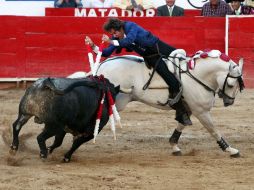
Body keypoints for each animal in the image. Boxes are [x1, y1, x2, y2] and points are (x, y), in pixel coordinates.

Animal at [69, 49, 244, 157]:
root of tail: (101, 66)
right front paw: (231, 149)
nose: (229, 101)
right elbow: (214, 130)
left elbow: (181, 125)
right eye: (230, 84)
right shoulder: (201, 111)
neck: (197, 75)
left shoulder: (189, 109)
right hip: (114, 103)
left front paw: (174, 147)